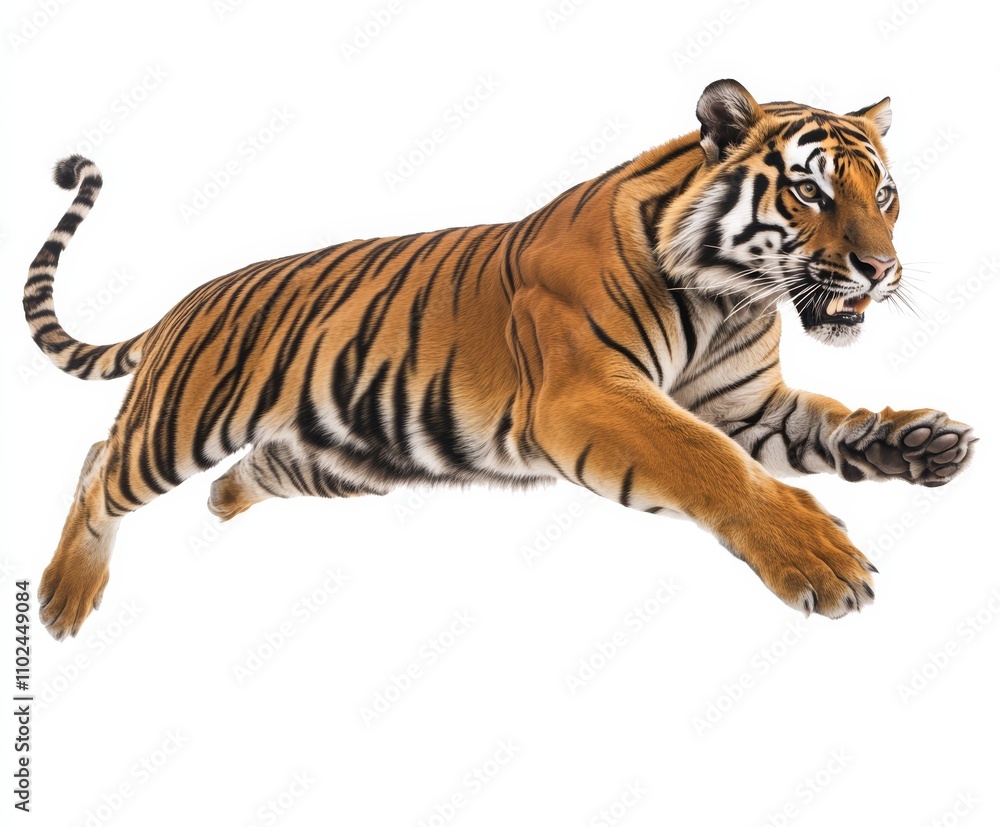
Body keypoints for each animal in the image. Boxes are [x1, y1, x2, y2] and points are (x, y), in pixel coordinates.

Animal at [25, 78, 976, 641]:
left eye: (885, 193)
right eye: (810, 191)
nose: (882, 269)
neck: (729, 297)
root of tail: (182, 303)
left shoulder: (746, 405)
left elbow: (831, 425)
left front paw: (921, 442)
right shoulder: (590, 394)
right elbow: (710, 463)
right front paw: (821, 560)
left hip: (340, 454)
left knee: (244, 471)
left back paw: (220, 504)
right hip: (178, 422)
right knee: (98, 462)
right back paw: (65, 594)